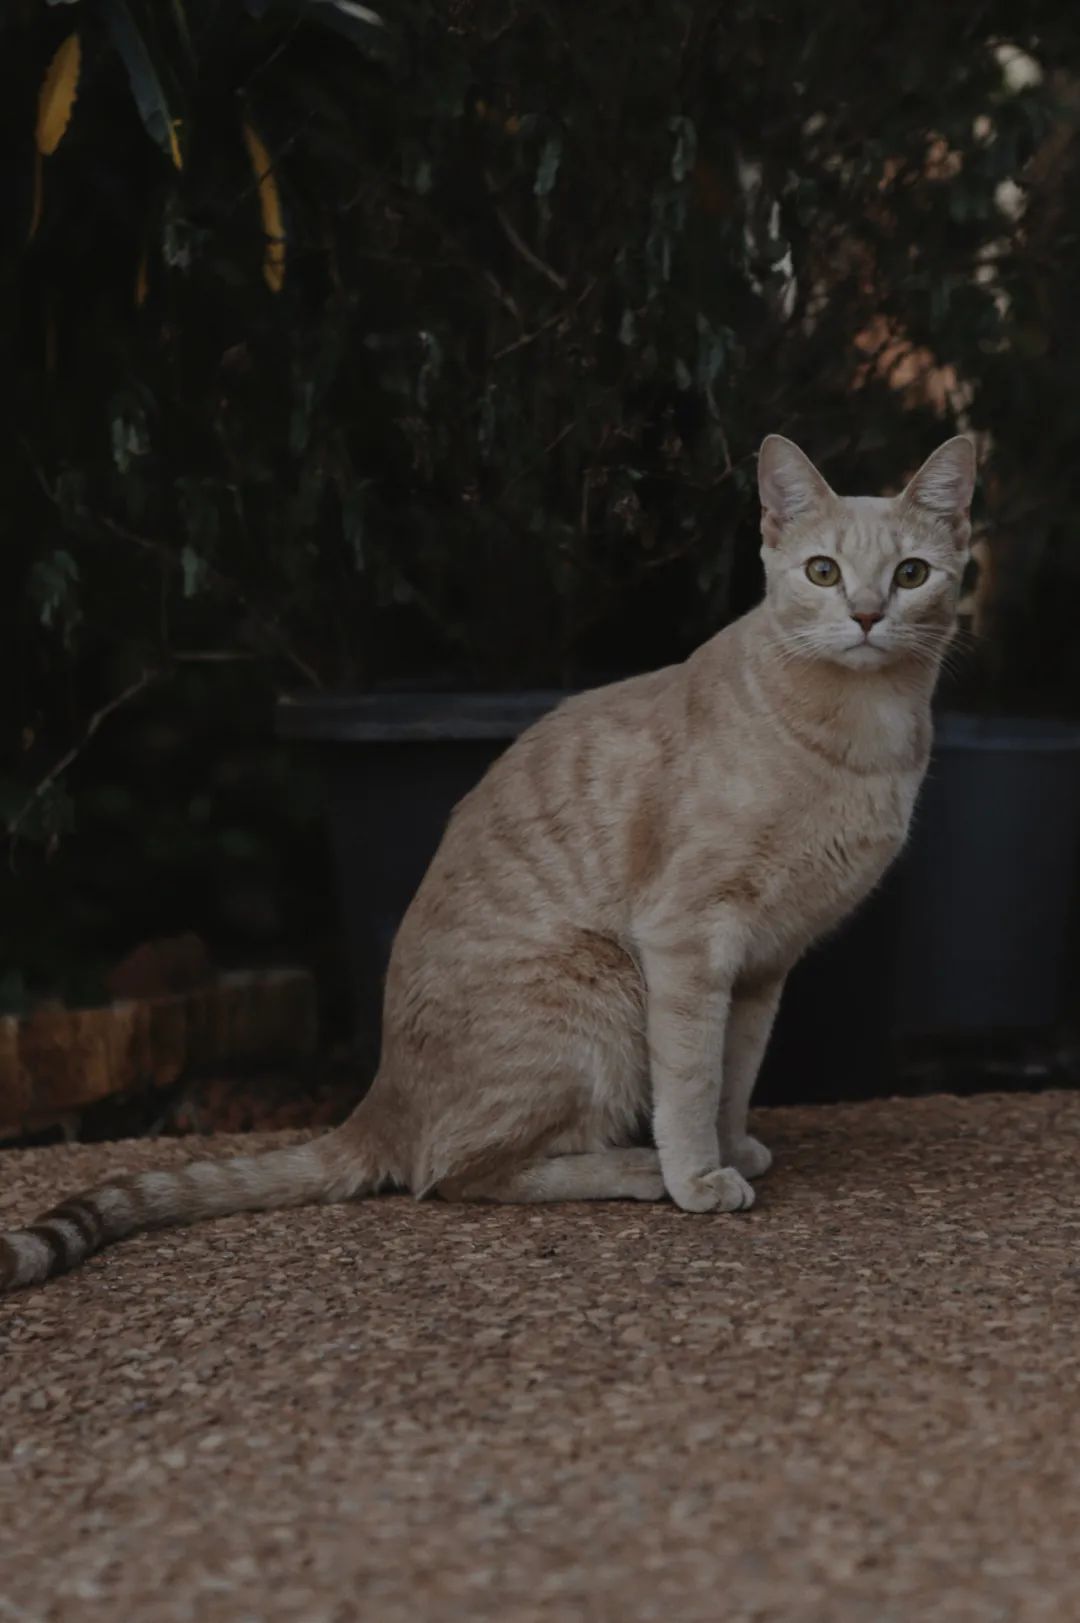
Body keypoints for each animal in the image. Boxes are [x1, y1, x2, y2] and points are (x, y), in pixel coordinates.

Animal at [0, 434, 974, 1291]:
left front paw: (731, 1148)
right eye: (823, 571)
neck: (862, 736)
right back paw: (635, 1168)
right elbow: (692, 1078)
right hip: (598, 992)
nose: (867, 614)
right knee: (456, 1173)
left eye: (911, 574)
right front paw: (697, 1174)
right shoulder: (688, 940)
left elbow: (735, 1074)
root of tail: (379, 1099)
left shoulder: (764, 964)